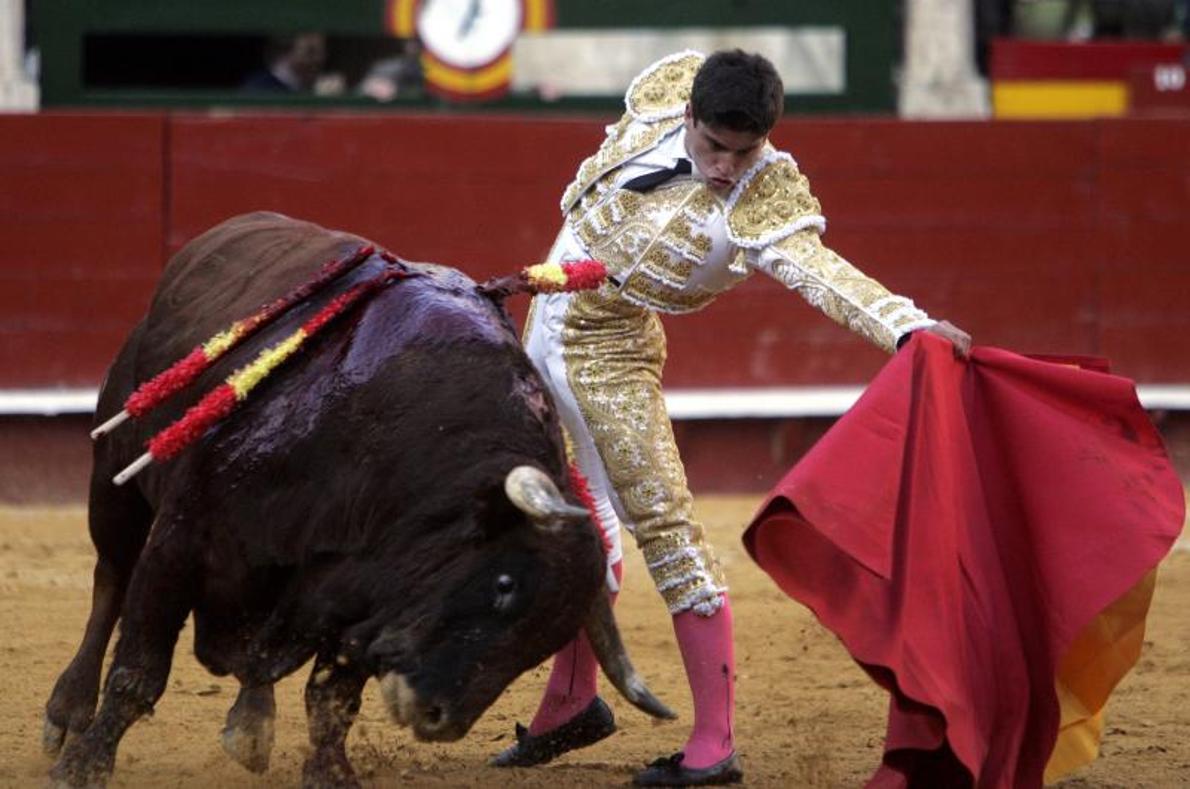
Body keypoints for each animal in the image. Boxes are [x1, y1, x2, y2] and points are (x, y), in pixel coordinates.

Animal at [44, 213, 671, 785]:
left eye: (547, 641)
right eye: (504, 584)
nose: (438, 718)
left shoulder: (360, 595)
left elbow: (332, 698)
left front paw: (330, 773)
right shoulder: (181, 542)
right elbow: (138, 671)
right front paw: (84, 767)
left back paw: (252, 724)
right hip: (114, 479)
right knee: (110, 581)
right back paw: (66, 716)